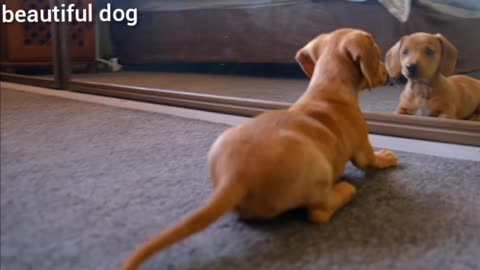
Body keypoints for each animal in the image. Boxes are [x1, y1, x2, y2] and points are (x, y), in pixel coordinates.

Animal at [123, 28, 398, 268]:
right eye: (378, 53)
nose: (389, 77)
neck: (328, 88)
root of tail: (235, 176)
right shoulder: (362, 146)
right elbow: (371, 159)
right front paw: (386, 157)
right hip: (318, 168)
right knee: (319, 211)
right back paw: (344, 191)